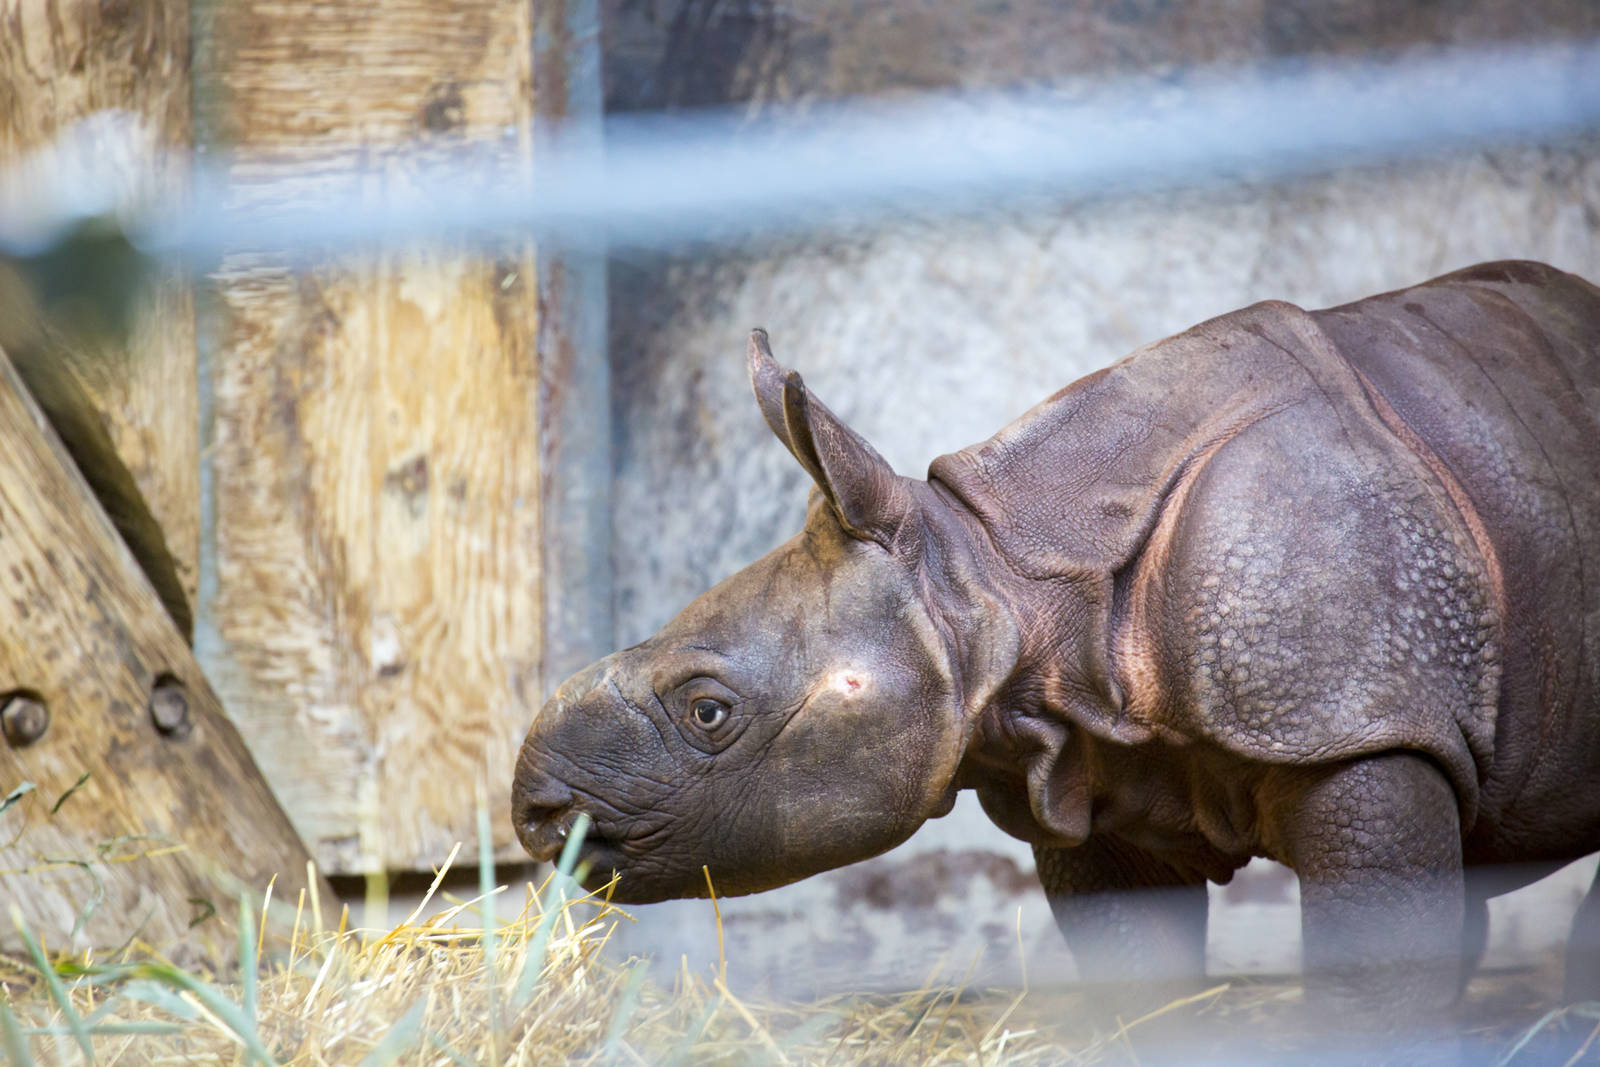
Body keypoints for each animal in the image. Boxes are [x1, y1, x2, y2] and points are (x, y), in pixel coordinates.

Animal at [513, 260, 1600, 1041]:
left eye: (708, 710)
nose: (538, 815)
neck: (999, 577)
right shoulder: (1090, 759)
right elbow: (1138, 971)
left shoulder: (1362, 717)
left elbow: (1373, 972)